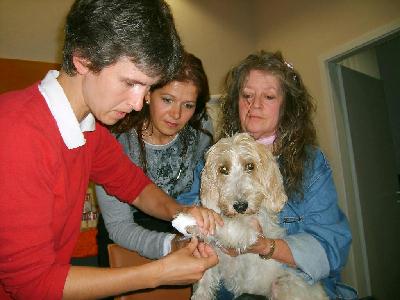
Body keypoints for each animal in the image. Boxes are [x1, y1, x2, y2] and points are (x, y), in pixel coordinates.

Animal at [189, 134, 326, 300]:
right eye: (223, 169)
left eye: (250, 166)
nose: (240, 206)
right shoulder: (214, 256)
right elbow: (205, 280)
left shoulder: (250, 232)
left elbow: (227, 227)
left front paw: (195, 223)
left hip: (283, 285)